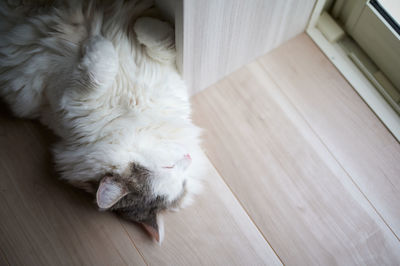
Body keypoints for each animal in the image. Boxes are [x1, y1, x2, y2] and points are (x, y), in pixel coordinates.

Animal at [0, 0, 205, 242]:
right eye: (168, 166)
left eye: (182, 182)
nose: (188, 157)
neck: (134, 118)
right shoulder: (74, 98)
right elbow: (111, 66)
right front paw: (105, 37)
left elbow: (152, 46)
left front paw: (118, 33)